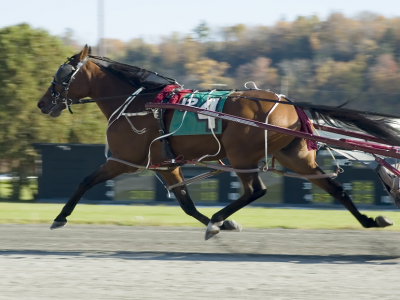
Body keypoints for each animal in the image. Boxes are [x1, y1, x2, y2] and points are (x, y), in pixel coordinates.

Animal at [37, 45, 396, 239]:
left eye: (61, 75)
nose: (42, 103)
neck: (139, 103)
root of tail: (289, 103)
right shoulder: (165, 165)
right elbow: (185, 203)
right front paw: (224, 224)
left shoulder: (124, 160)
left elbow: (85, 181)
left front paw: (59, 217)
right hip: (292, 155)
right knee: (334, 188)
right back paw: (369, 220)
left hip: (241, 155)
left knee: (256, 191)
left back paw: (217, 219)